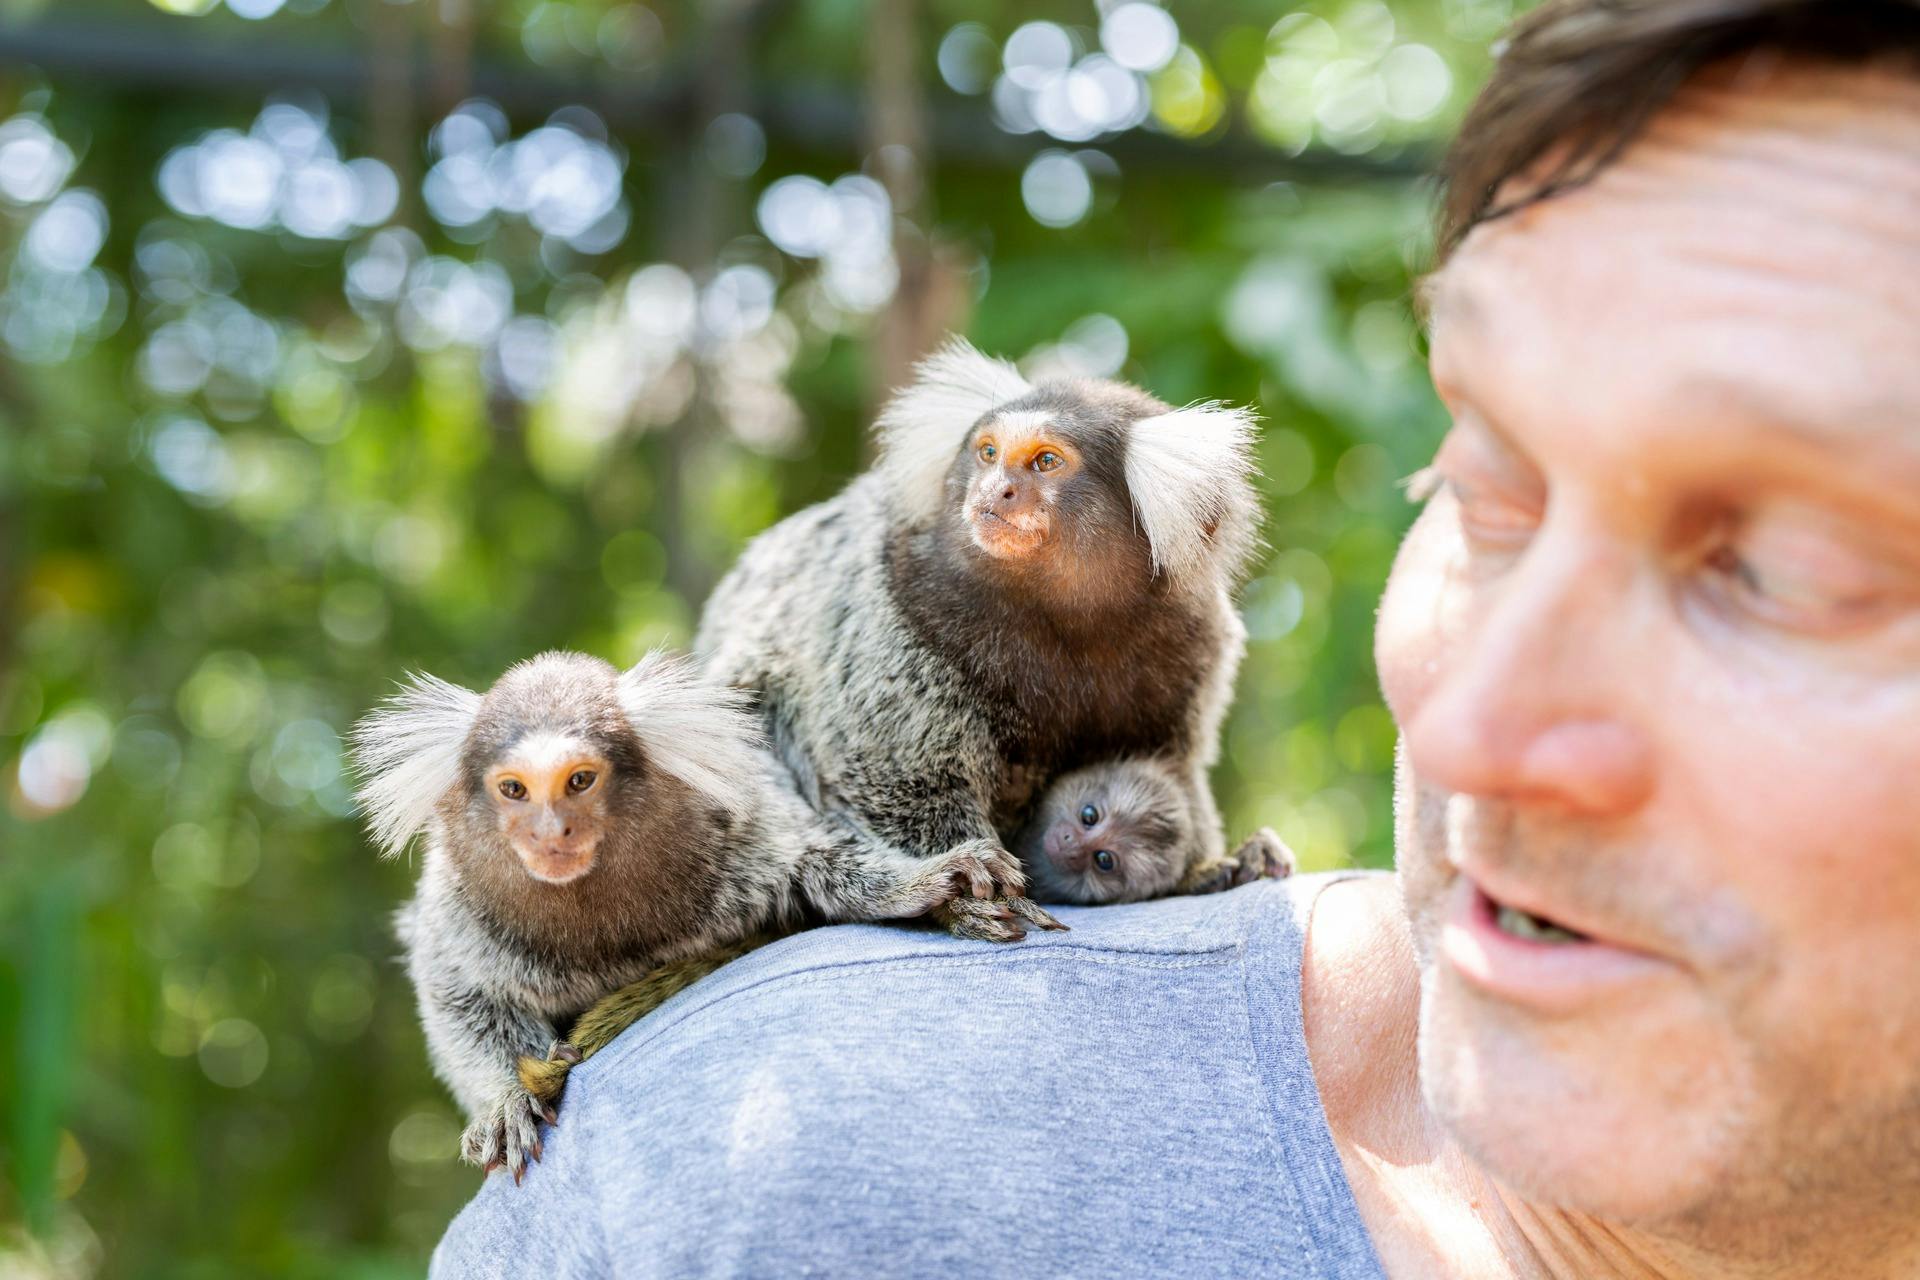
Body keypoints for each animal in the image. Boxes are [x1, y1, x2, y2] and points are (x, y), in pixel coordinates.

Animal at [352, 649, 1027, 1182]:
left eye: (579, 781)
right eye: (513, 789)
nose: (550, 834)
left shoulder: (743, 831)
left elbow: (820, 864)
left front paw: (924, 887)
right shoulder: (461, 914)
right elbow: (459, 999)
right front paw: (503, 1101)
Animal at [695, 337, 1274, 942]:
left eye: (1046, 461)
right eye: (989, 453)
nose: (997, 490)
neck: (1063, 618)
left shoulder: (1194, 642)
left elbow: (1176, 771)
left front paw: (1208, 867)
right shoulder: (898, 606)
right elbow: (896, 769)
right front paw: (972, 892)